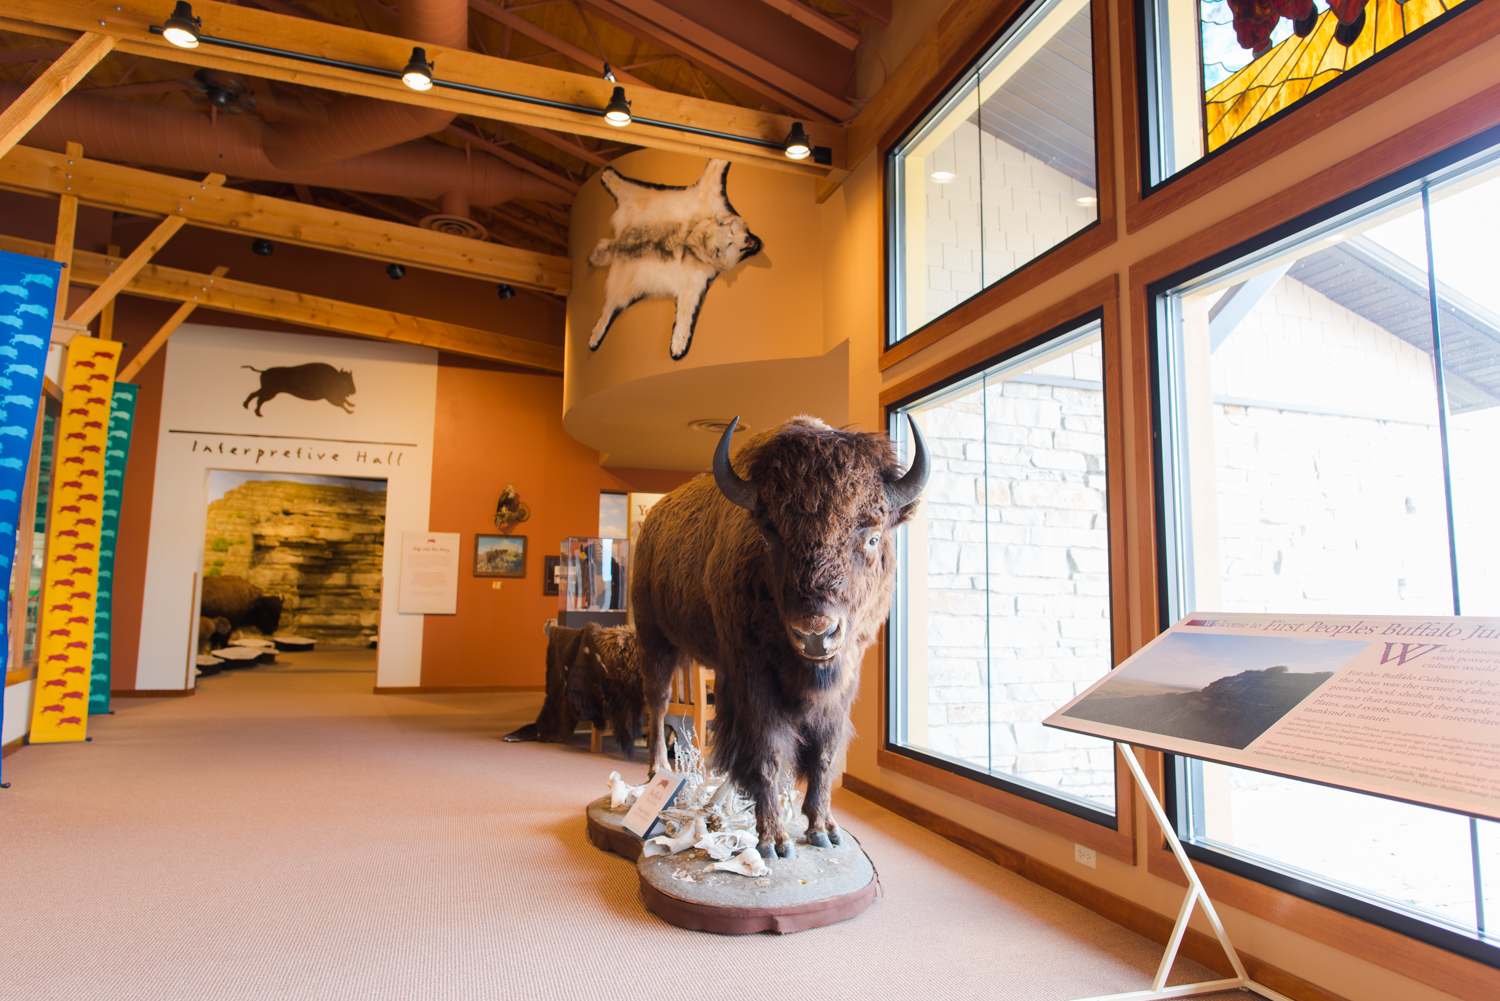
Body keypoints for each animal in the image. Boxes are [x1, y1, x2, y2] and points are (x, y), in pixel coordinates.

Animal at [579, 156, 756, 360]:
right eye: (729, 242)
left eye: (731, 231)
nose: (746, 239)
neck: (691, 237)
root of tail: (618, 243)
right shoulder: (692, 283)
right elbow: (684, 316)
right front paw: (679, 345)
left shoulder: (705, 197)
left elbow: (712, 170)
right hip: (622, 289)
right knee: (609, 308)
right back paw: (595, 335)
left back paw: (608, 176)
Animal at [633, 414, 924, 864]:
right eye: (768, 539)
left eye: (873, 536)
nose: (815, 634)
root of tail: (650, 522)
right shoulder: (754, 675)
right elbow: (768, 751)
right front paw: (773, 840)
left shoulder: (843, 679)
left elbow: (824, 754)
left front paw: (823, 830)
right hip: (655, 638)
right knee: (658, 700)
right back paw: (658, 772)